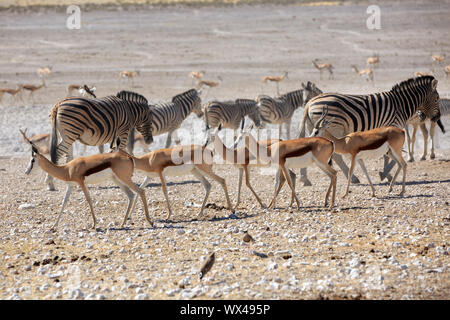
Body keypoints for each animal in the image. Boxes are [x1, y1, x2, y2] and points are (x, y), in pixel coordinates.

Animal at [21, 129, 152, 231]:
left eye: (32, 160)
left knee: (141, 191)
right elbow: (64, 202)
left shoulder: (81, 183)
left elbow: (88, 199)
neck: (67, 169)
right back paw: (122, 223)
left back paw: (149, 221)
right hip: (117, 180)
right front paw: (53, 226)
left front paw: (94, 224)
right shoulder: (71, 185)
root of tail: (128, 157)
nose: (26, 171)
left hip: (124, 178)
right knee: (131, 195)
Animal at [298, 75, 440, 185]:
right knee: (336, 155)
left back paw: (317, 177)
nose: (437, 117)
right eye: (437, 99)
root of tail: (309, 103)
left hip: (314, 127)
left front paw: (385, 173)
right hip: (334, 127)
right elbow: (388, 154)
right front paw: (386, 174)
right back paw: (352, 178)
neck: (401, 105)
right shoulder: (392, 125)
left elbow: (388, 153)